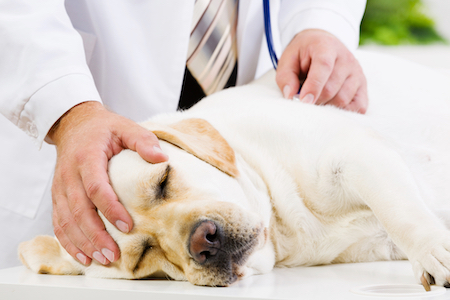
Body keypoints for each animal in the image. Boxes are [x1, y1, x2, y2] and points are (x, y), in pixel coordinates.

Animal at [18, 51, 450, 290]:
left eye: (163, 182)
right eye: (143, 257)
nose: (203, 242)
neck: (283, 226)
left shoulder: (356, 155)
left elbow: (403, 214)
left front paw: (436, 254)